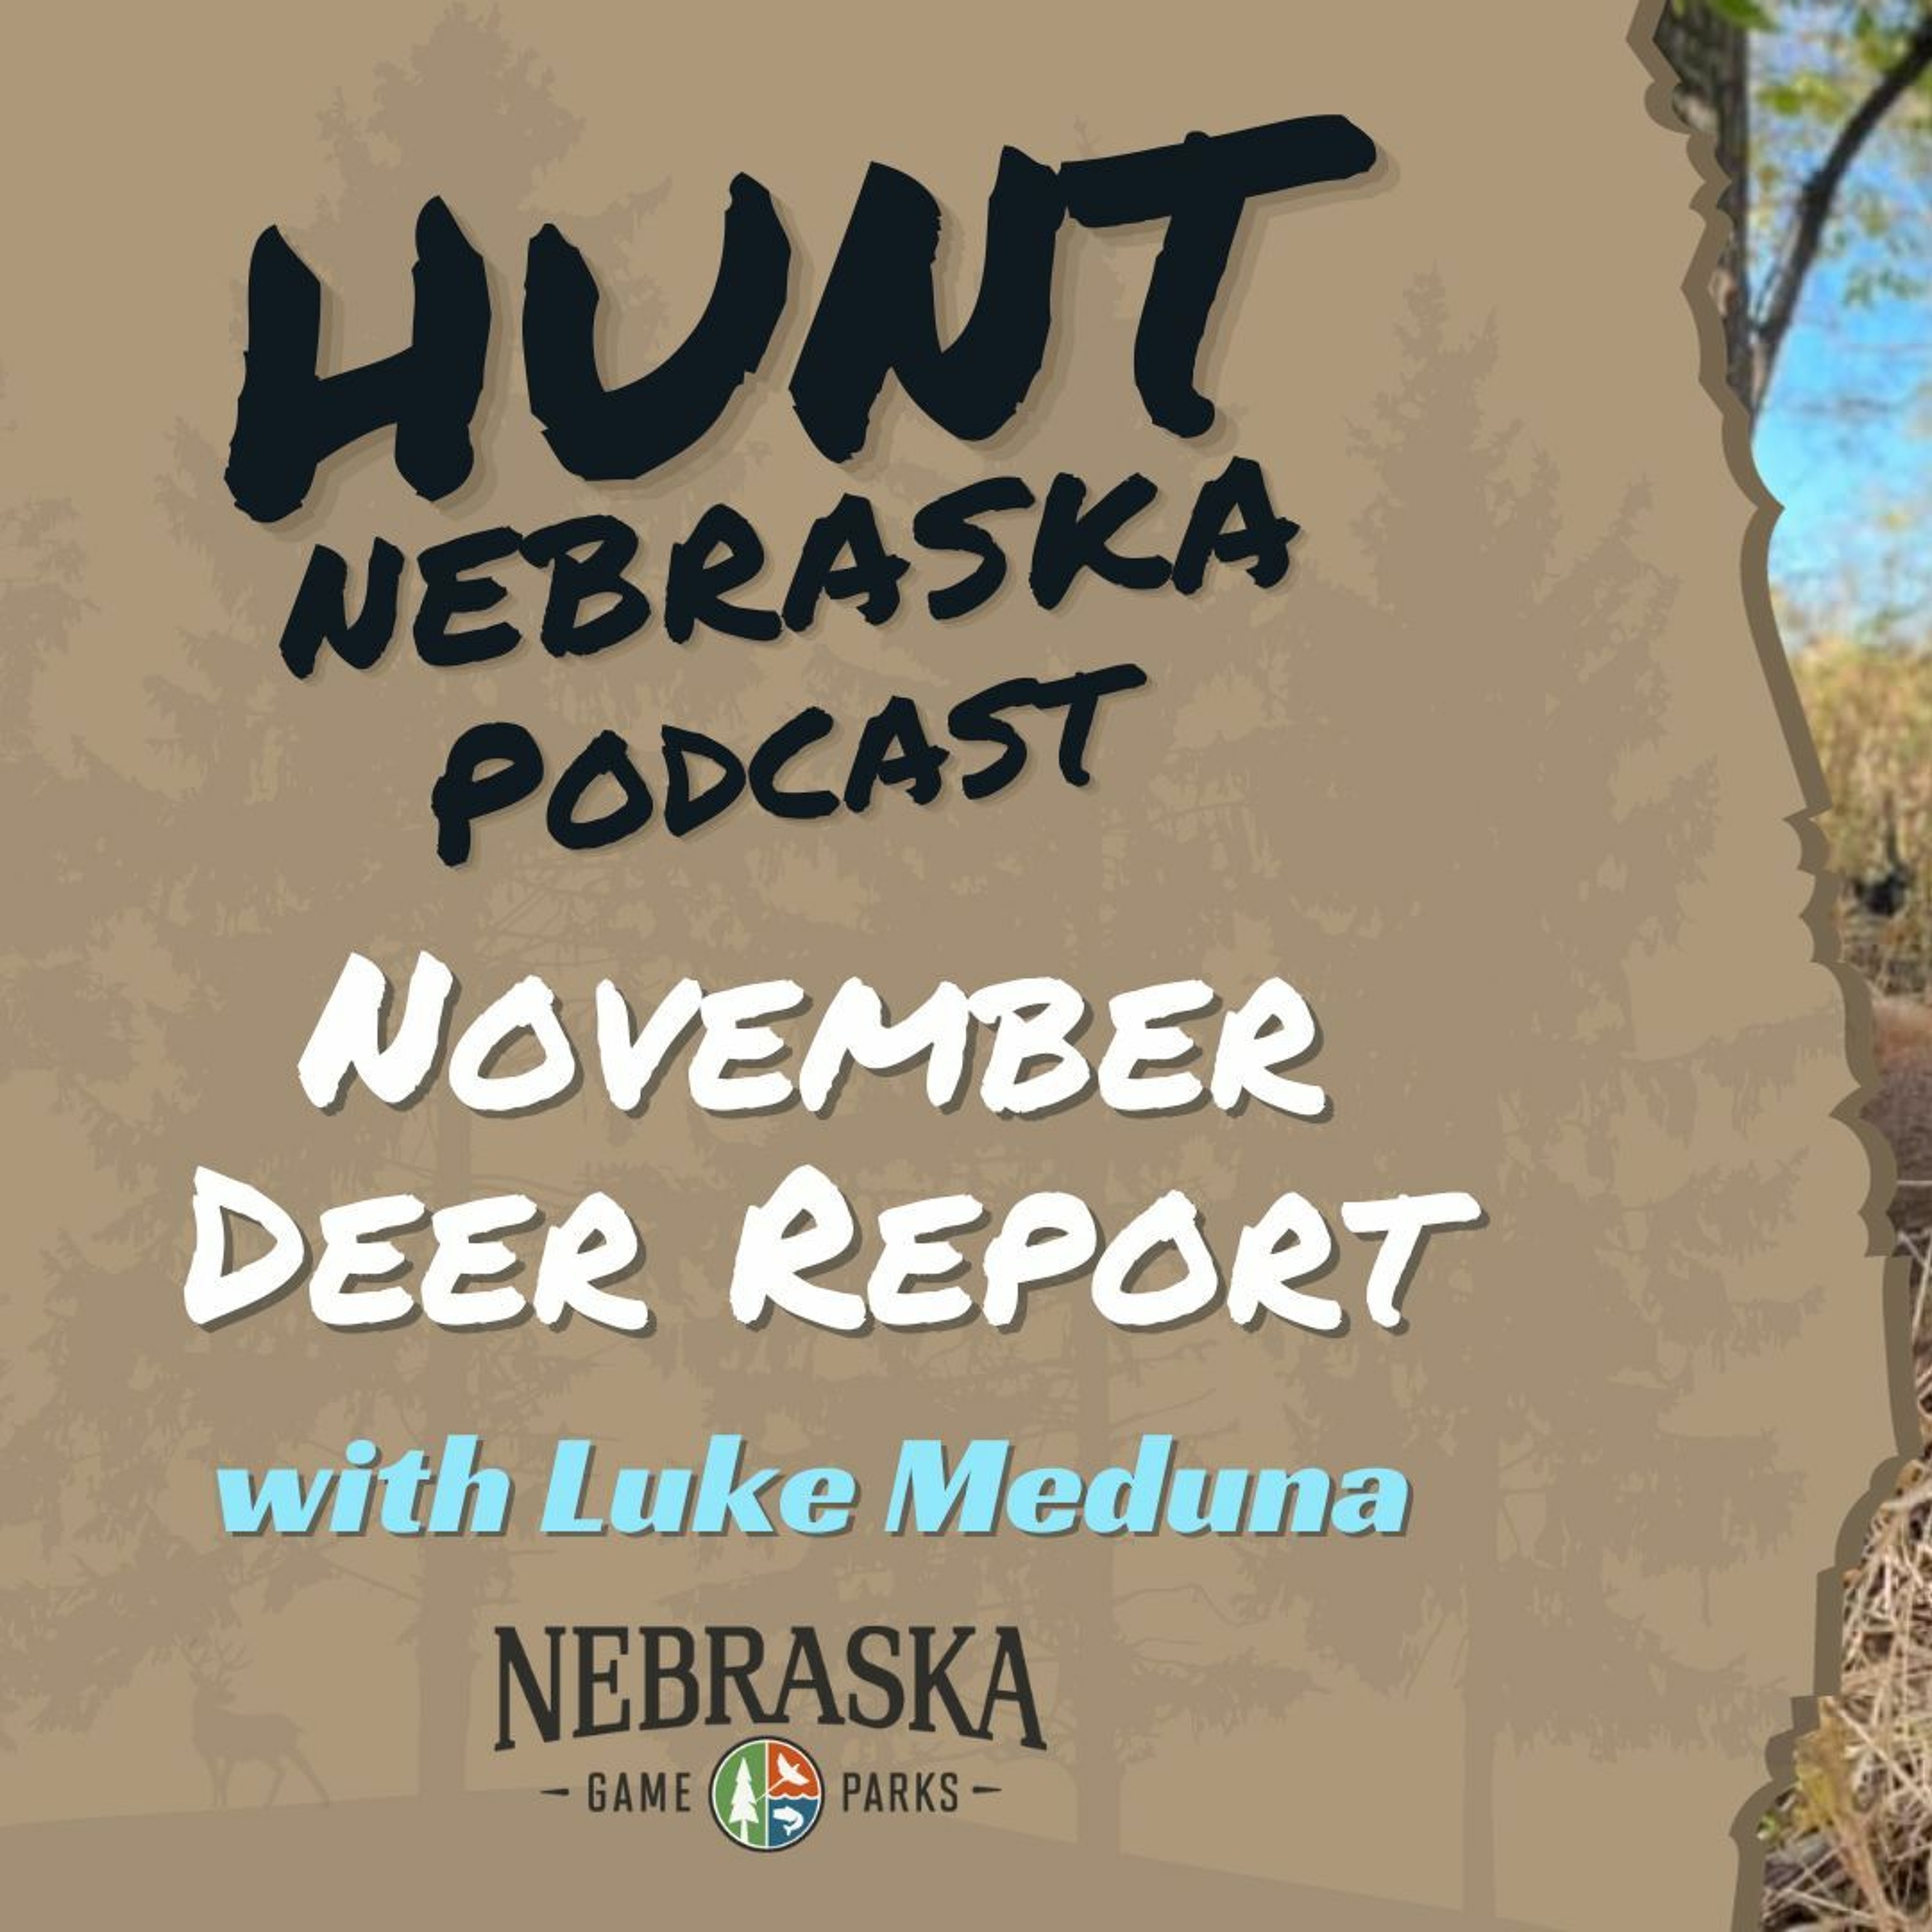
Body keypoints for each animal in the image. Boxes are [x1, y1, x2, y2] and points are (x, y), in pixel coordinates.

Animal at [189, 1641, 329, 1807]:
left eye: (220, 1686)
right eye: (210, 1688)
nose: (232, 1696)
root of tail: (295, 1727)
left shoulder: (231, 1753)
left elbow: (223, 1782)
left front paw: (224, 1806)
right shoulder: (209, 1754)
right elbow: (216, 1782)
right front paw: (214, 1806)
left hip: (277, 1749)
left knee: (293, 1768)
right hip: (279, 1750)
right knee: (295, 1767)